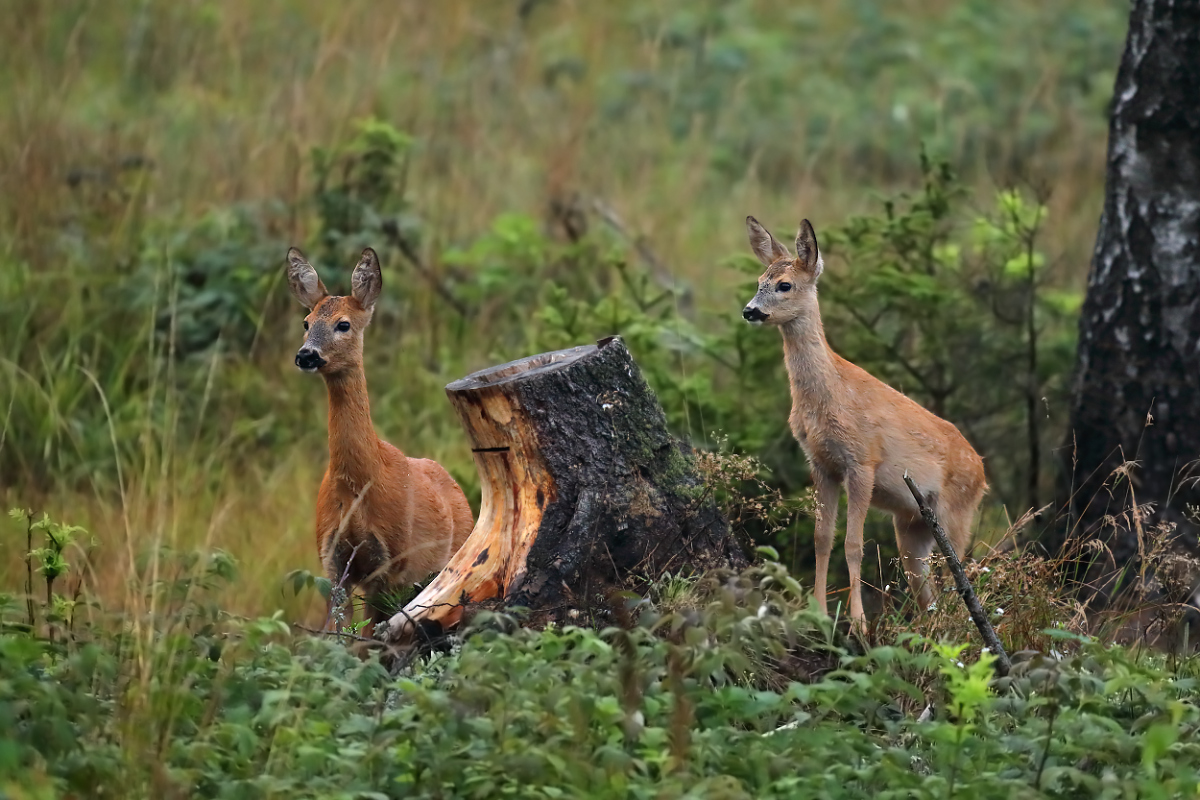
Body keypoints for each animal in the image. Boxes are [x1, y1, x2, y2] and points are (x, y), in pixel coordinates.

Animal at [286, 244, 472, 633]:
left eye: (343, 324)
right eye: (306, 323)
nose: (306, 355)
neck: (358, 484)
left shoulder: (389, 563)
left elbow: (368, 637)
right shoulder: (332, 560)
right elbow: (336, 634)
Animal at [739, 215, 984, 628]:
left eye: (784, 284)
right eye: (759, 280)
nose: (750, 310)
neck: (828, 395)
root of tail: (983, 472)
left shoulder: (862, 460)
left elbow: (854, 544)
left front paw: (858, 621)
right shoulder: (821, 463)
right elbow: (823, 538)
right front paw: (819, 612)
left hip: (956, 511)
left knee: (959, 573)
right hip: (912, 524)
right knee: (926, 586)